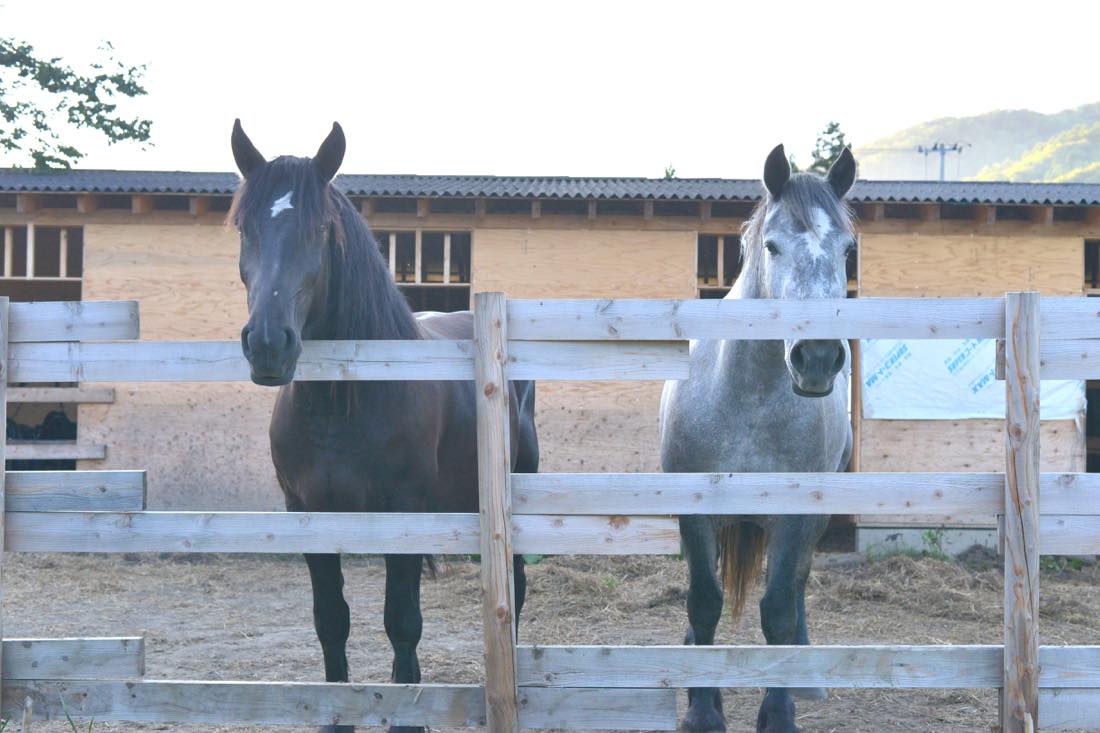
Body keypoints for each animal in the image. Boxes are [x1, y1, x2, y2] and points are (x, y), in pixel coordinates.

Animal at [228, 120, 539, 733]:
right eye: (244, 228)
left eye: (320, 228)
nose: (269, 344)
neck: (343, 402)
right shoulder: (307, 513)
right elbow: (331, 619)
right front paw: (337, 717)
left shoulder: (405, 511)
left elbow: (402, 621)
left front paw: (407, 716)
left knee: (513, 588)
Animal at [659, 144, 857, 733]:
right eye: (772, 246)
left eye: (848, 250)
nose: (818, 356)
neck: (747, 398)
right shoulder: (694, 511)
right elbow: (704, 601)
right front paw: (702, 712)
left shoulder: (795, 516)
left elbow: (778, 609)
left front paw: (779, 712)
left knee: (796, 589)